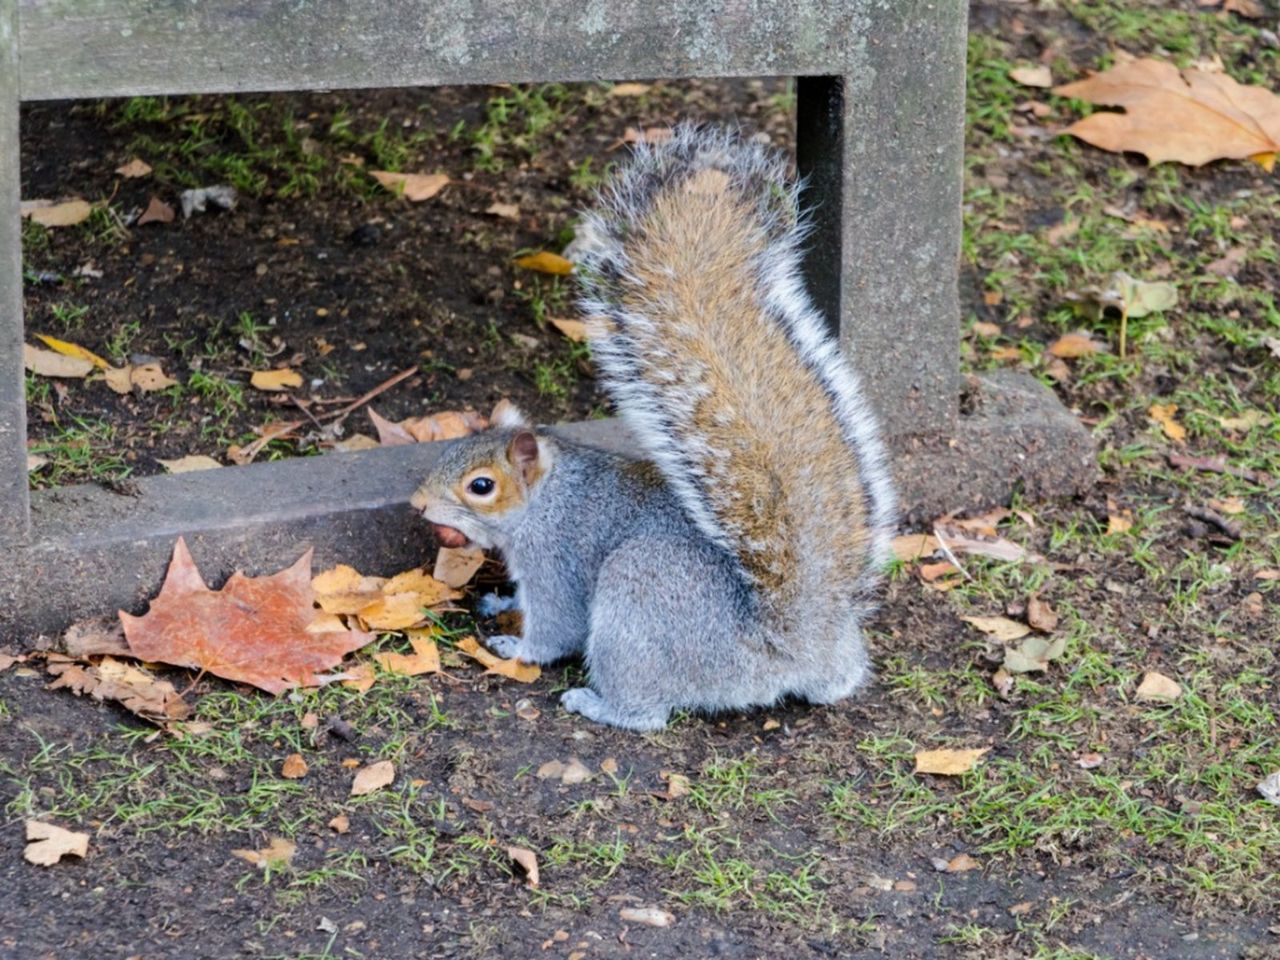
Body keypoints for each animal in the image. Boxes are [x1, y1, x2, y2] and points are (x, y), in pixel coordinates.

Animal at [414, 126, 896, 727]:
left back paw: (597, 703)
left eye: (480, 486)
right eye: (456, 445)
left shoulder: (555, 559)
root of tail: (783, 651)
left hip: (636, 602)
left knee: (647, 711)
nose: (419, 505)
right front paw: (501, 602)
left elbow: (555, 629)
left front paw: (514, 646)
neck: (548, 496)